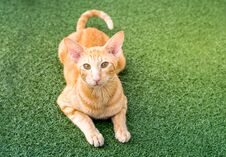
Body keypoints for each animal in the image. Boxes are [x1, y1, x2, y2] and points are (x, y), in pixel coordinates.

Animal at [57, 9, 131, 147]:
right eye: (86, 66)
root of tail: (88, 28)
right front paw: (94, 134)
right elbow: (84, 118)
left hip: (122, 61)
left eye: (104, 64)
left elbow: (120, 117)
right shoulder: (64, 102)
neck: (100, 95)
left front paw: (122, 131)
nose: (96, 78)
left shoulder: (124, 102)